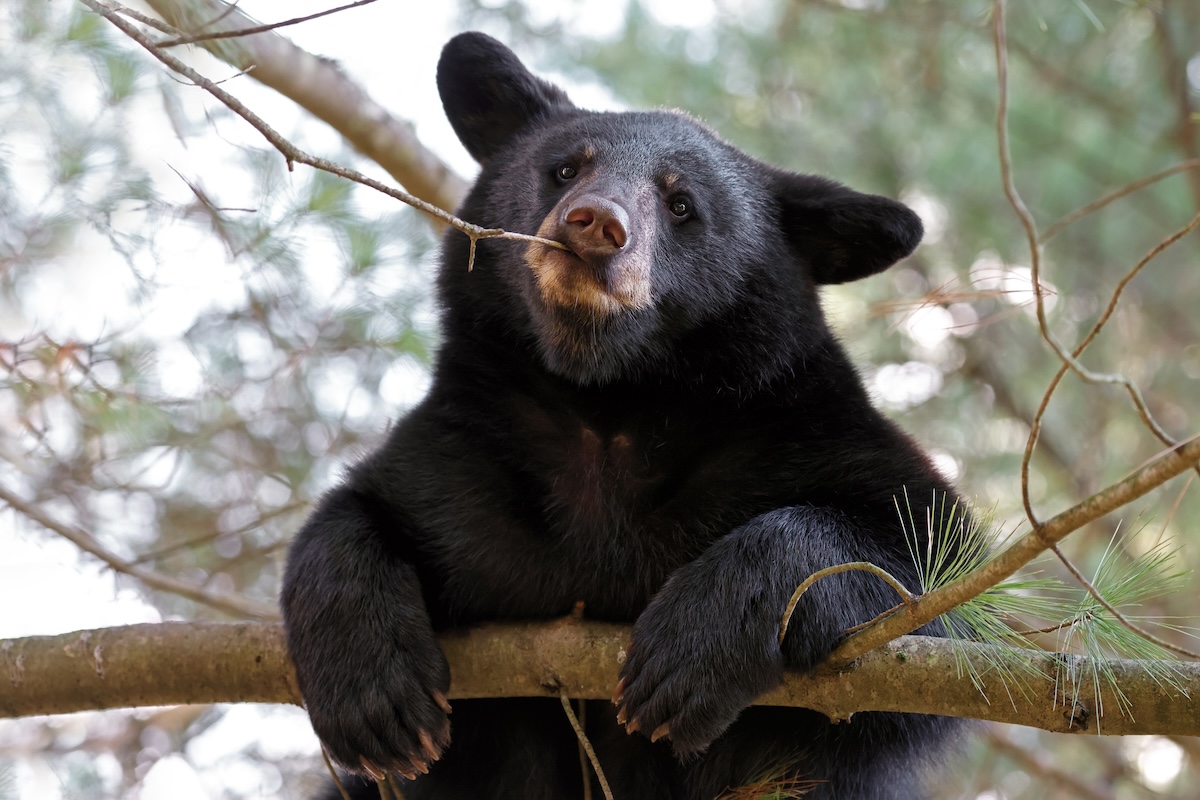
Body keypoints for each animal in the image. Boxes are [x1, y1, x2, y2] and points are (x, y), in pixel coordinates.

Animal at [281, 31, 965, 800]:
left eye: (681, 204)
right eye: (565, 167)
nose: (595, 224)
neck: (608, 400)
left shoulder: (793, 427)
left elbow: (925, 576)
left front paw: (690, 649)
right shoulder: (465, 452)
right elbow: (359, 508)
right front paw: (374, 699)